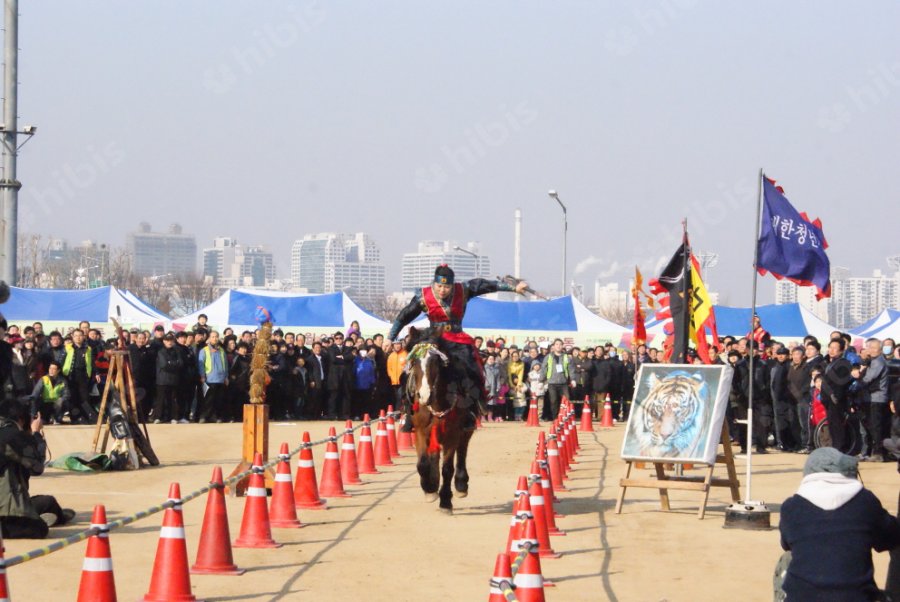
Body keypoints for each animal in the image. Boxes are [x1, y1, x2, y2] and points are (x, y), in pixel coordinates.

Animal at [404, 326, 474, 512]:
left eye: (435, 361)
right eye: (414, 362)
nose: (424, 395)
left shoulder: (452, 434)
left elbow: (448, 468)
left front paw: (445, 501)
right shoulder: (420, 431)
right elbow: (422, 463)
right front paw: (429, 489)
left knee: (462, 449)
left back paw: (461, 485)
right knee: (434, 455)